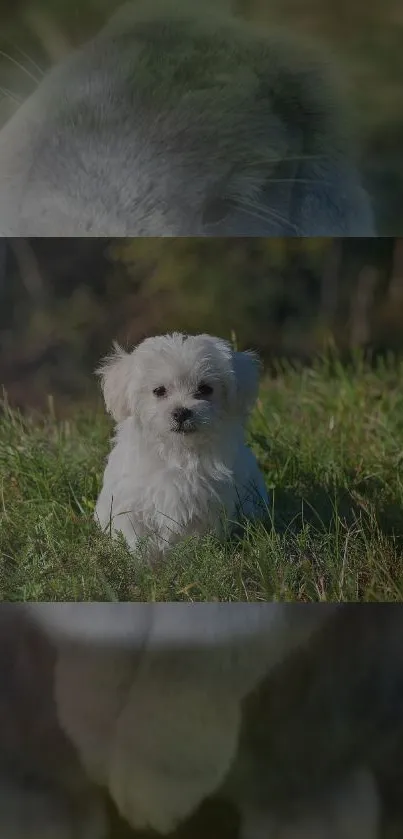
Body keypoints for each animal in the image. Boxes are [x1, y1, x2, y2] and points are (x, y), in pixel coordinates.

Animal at [95, 332, 268, 560]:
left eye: (205, 389)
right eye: (159, 391)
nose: (181, 412)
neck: (178, 451)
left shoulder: (207, 505)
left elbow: (196, 536)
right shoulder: (130, 502)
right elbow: (137, 536)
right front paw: (145, 562)